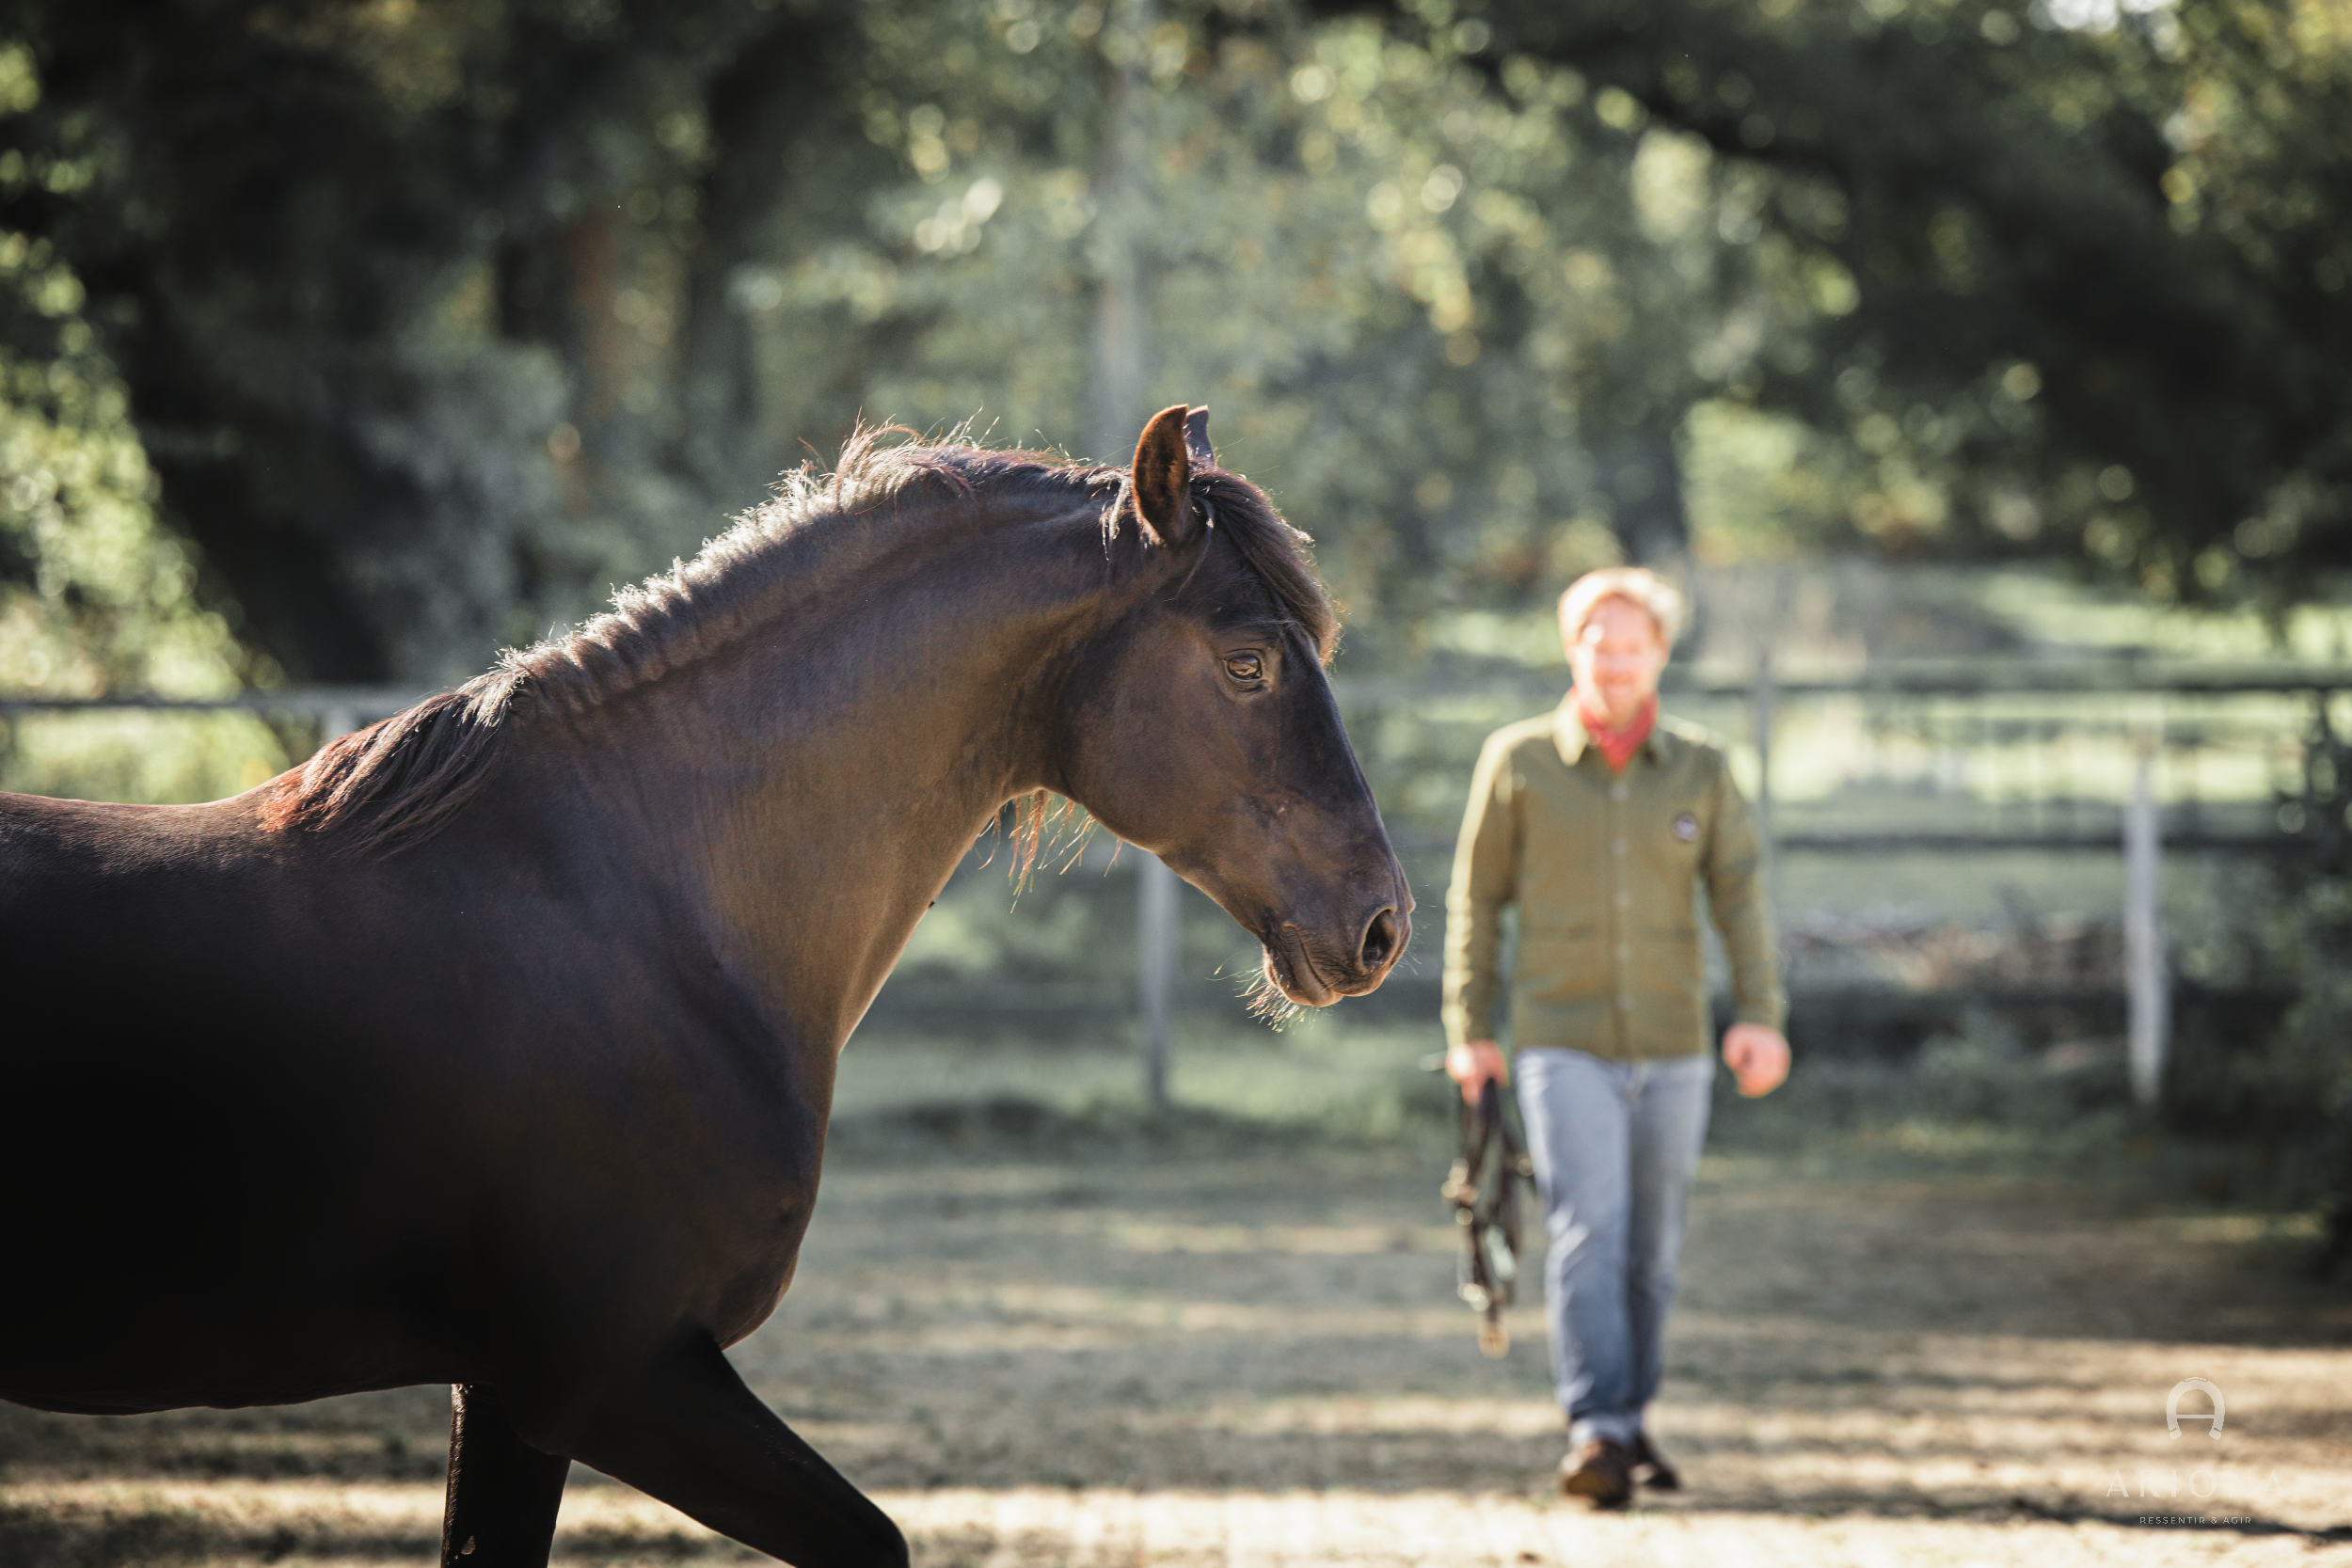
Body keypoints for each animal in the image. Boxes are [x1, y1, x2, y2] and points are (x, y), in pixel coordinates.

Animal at [0, 405, 1409, 1567]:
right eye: (1247, 660)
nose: (1383, 921)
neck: (646, 905)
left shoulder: (510, 1395)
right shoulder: (603, 1375)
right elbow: (871, 1540)